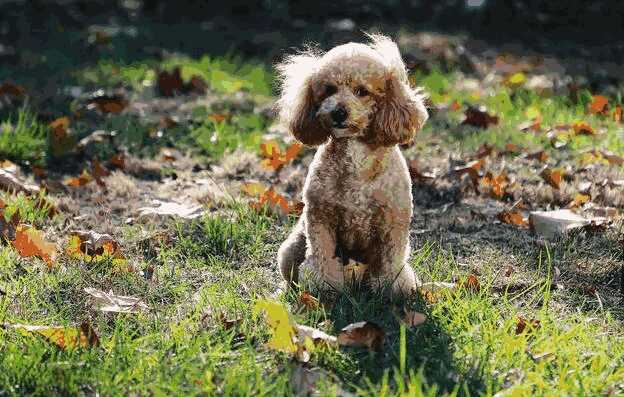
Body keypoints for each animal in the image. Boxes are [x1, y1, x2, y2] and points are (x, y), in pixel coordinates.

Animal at [276, 33, 426, 294]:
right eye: (329, 89)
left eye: (362, 91)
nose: (339, 112)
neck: (355, 158)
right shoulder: (320, 218)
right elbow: (322, 256)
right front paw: (324, 285)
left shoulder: (392, 222)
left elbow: (390, 261)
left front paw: (391, 288)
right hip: (292, 247)